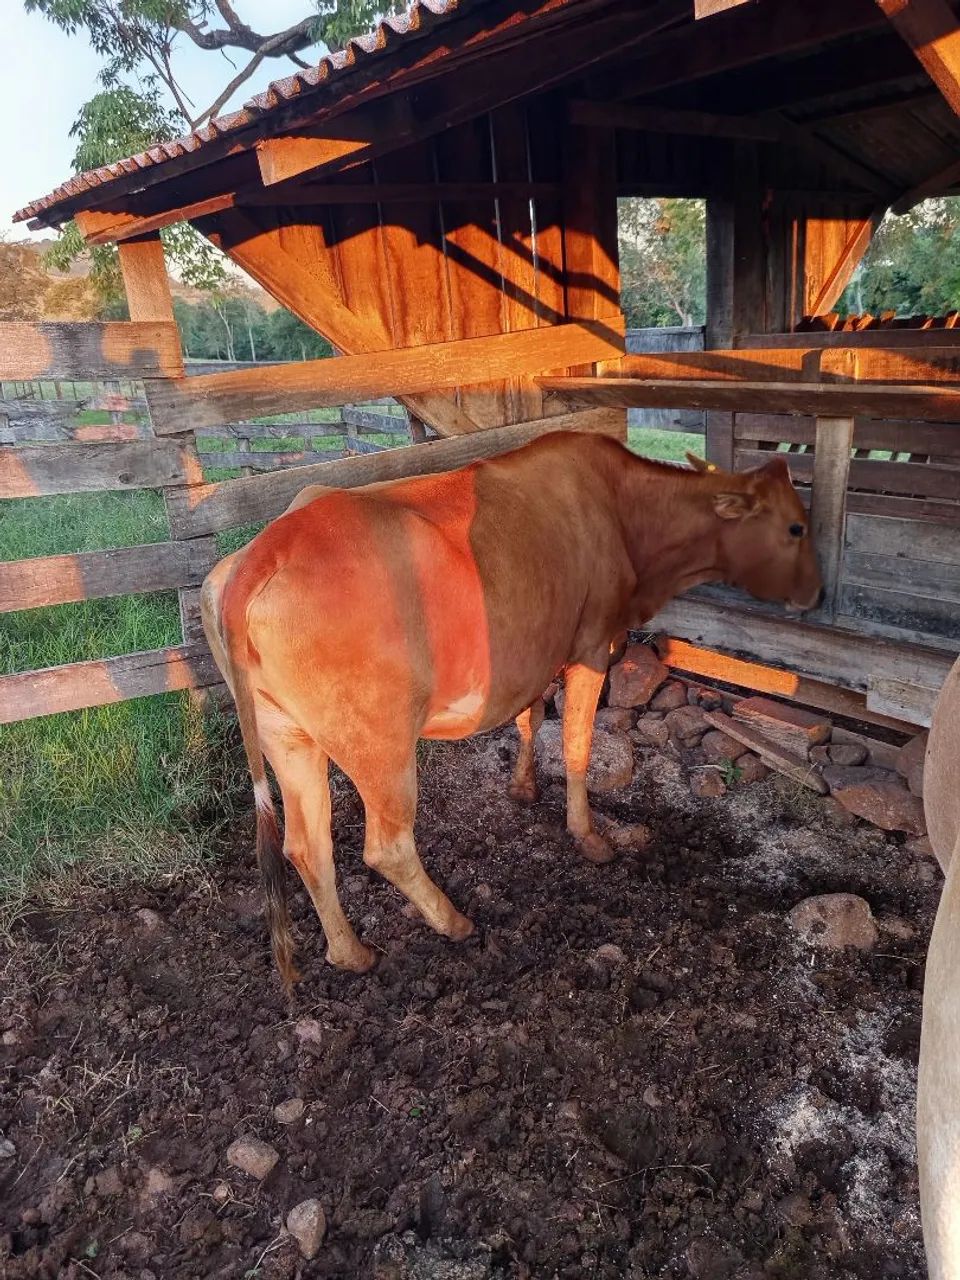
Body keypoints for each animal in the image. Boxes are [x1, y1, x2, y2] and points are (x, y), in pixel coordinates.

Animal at [201, 431, 821, 988]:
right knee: (386, 845)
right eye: (797, 526)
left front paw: (523, 787)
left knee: (307, 844)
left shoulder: (534, 650)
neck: (626, 513)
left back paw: (351, 953)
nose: (816, 594)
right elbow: (576, 742)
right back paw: (453, 920)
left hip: (287, 736)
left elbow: (530, 716)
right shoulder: (592, 643)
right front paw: (589, 836)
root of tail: (266, 549)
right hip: (378, 742)